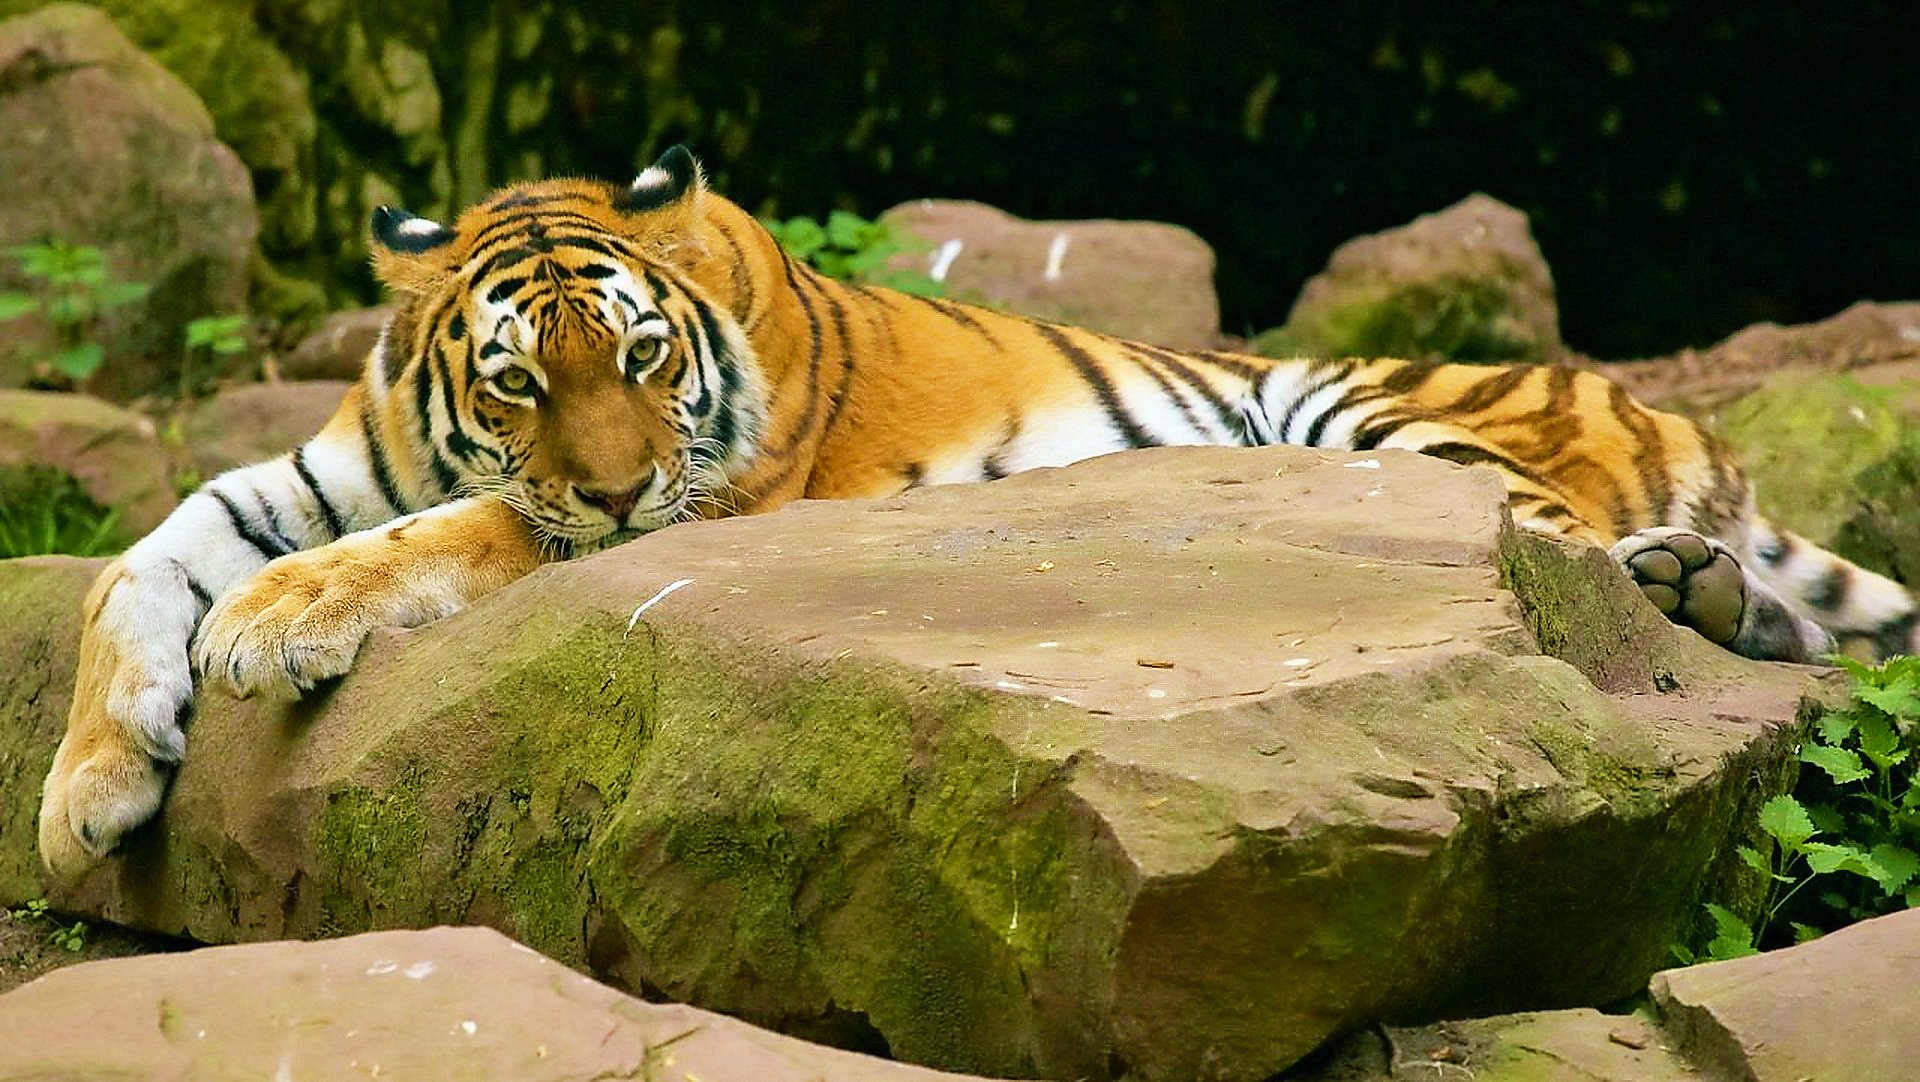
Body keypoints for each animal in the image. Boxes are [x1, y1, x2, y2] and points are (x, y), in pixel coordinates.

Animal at [33, 143, 1920, 874]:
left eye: (641, 356)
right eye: (516, 380)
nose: (624, 478)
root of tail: (1673, 406)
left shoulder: (698, 498)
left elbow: (464, 540)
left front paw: (276, 624)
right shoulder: (321, 468)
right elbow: (133, 565)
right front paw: (87, 793)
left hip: (1367, 414)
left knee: (1564, 554)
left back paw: (1670, 581)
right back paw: (1705, 590)